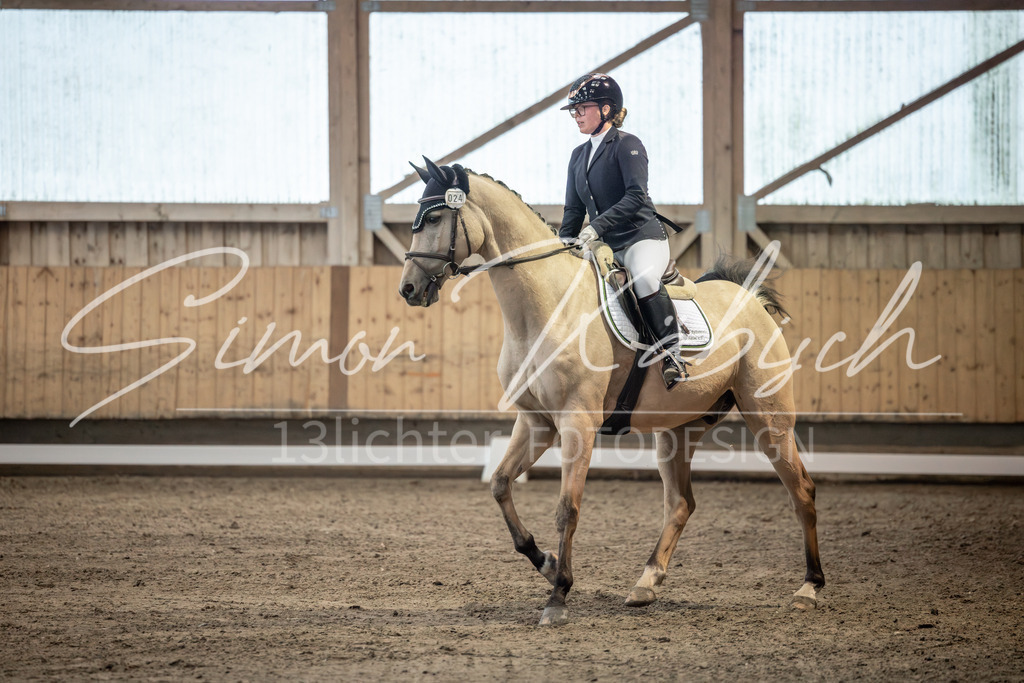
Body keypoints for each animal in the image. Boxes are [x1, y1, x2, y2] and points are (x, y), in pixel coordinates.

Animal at [398, 159, 824, 627]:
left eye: (434, 219)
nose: (408, 289)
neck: (545, 307)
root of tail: (750, 299)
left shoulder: (577, 423)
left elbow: (567, 508)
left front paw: (558, 596)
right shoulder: (536, 422)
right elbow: (500, 484)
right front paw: (546, 563)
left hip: (769, 419)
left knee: (802, 490)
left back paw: (809, 588)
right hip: (677, 430)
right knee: (680, 503)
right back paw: (646, 583)